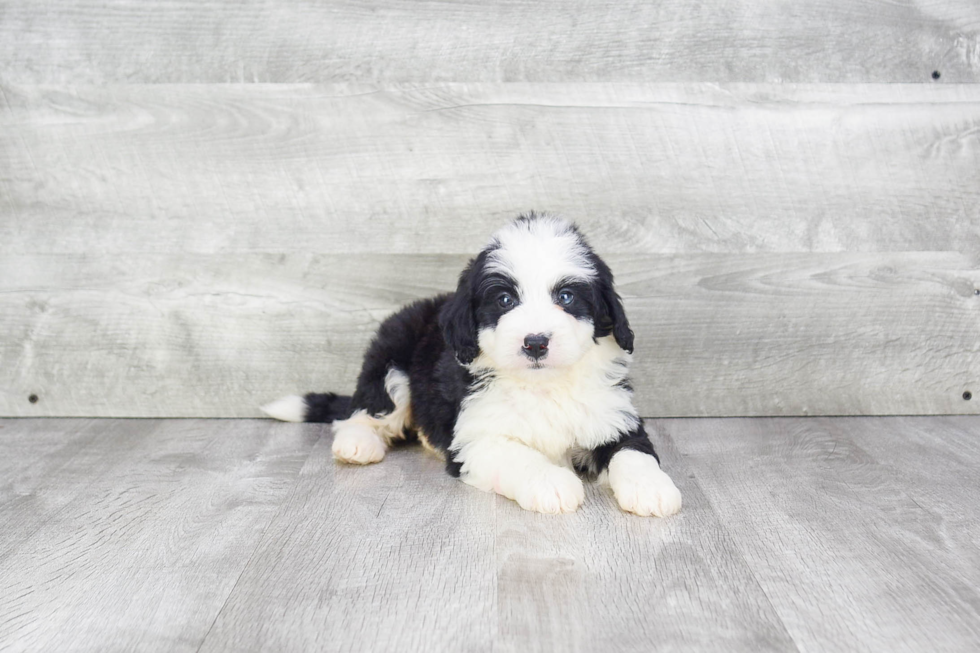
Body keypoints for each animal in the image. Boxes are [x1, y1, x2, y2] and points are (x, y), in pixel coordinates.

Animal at [260, 214, 680, 516]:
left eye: (566, 296)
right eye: (505, 300)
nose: (535, 342)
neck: (543, 385)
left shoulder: (612, 416)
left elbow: (633, 451)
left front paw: (653, 488)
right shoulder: (475, 438)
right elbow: (517, 455)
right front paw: (552, 483)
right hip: (391, 357)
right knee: (367, 407)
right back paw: (358, 443)